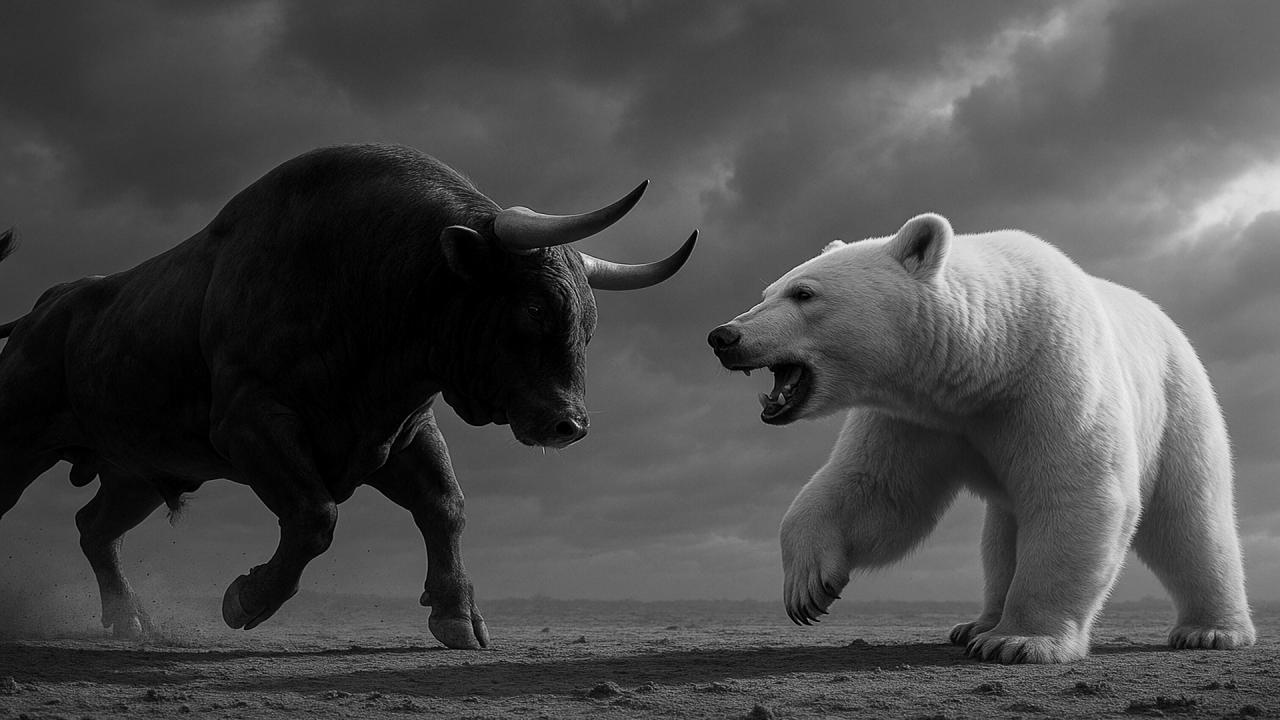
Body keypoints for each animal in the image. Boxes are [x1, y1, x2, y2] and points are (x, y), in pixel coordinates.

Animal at [0, 143, 696, 649]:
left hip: (138, 472)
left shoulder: (402, 430)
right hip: (24, 445)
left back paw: (130, 620)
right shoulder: (251, 422)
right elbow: (315, 517)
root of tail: (43, 309)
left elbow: (445, 508)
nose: (568, 424)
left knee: (94, 529)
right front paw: (247, 598)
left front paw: (455, 615)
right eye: (532, 307)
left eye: (589, 322)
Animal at [707, 213, 1256, 663]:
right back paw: (977, 621)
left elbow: (1077, 493)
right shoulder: (919, 417)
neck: (991, 355)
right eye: (767, 292)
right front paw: (807, 586)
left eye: (804, 293)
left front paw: (1020, 641)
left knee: (1189, 518)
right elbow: (876, 491)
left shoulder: (1053, 377)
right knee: (1000, 536)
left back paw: (1211, 630)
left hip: (1177, 402)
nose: (723, 336)